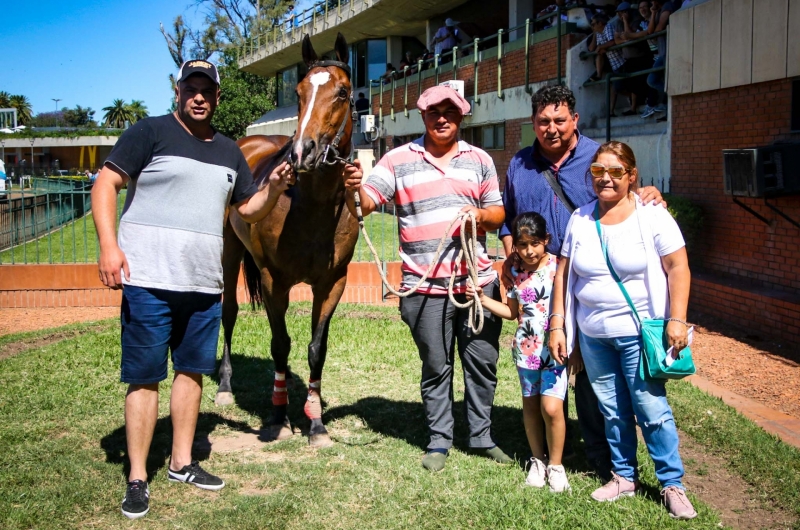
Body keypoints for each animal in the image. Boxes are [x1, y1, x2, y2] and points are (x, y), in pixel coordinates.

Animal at [216, 32, 360, 446]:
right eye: (298, 92)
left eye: (342, 92)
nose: (301, 152)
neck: (311, 209)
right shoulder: (273, 281)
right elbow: (280, 346)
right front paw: (279, 417)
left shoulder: (332, 283)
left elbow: (316, 349)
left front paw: (316, 421)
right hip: (229, 251)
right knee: (228, 312)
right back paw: (225, 386)